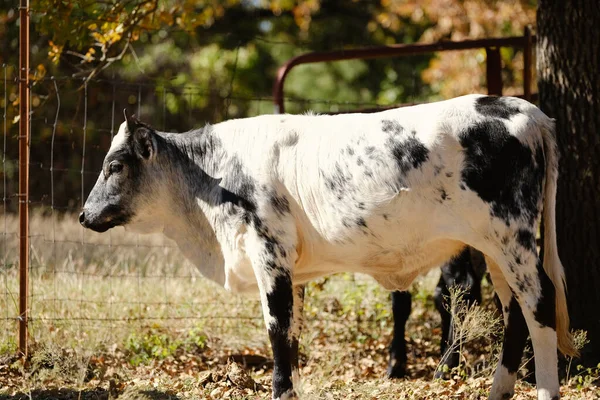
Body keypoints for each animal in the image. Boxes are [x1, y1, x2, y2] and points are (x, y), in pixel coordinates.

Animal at [79, 94, 576, 400]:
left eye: (115, 165)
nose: (84, 215)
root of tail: (523, 109)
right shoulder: (292, 270)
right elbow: (294, 333)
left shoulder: (270, 253)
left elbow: (277, 332)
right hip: (495, 250)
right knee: (514, 313)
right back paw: (499, 390)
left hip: (512, 239)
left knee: (539, 303)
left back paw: (544, 390)